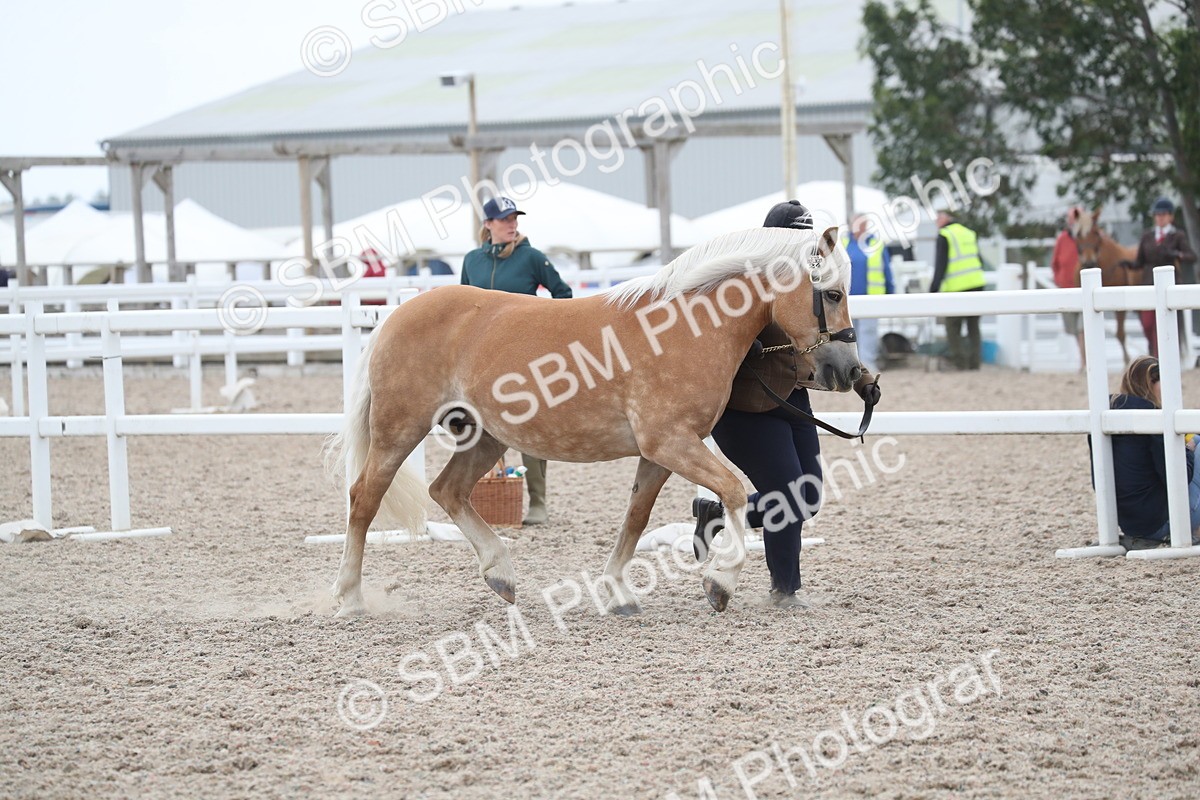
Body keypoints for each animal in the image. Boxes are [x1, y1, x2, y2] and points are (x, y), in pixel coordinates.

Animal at [323, 226, 862, 617]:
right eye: (833, 294)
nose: (848, 371)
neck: (684, 327)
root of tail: (395, 316)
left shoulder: (661, 454)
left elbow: (636, 518)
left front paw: (619, 592)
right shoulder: (670, 442)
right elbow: (732, 492)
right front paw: (720, 580)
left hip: (485, 438)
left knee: (448, 491)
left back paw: (500, 574)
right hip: (399, 431)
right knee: (364, 499)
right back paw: (349, 597)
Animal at [1074, 206, 1139, 362]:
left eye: (1096, 233)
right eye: (1078, 234)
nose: (1089, 262)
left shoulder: (1119, 306)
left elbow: (1120, 334)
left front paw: (1127, 360)